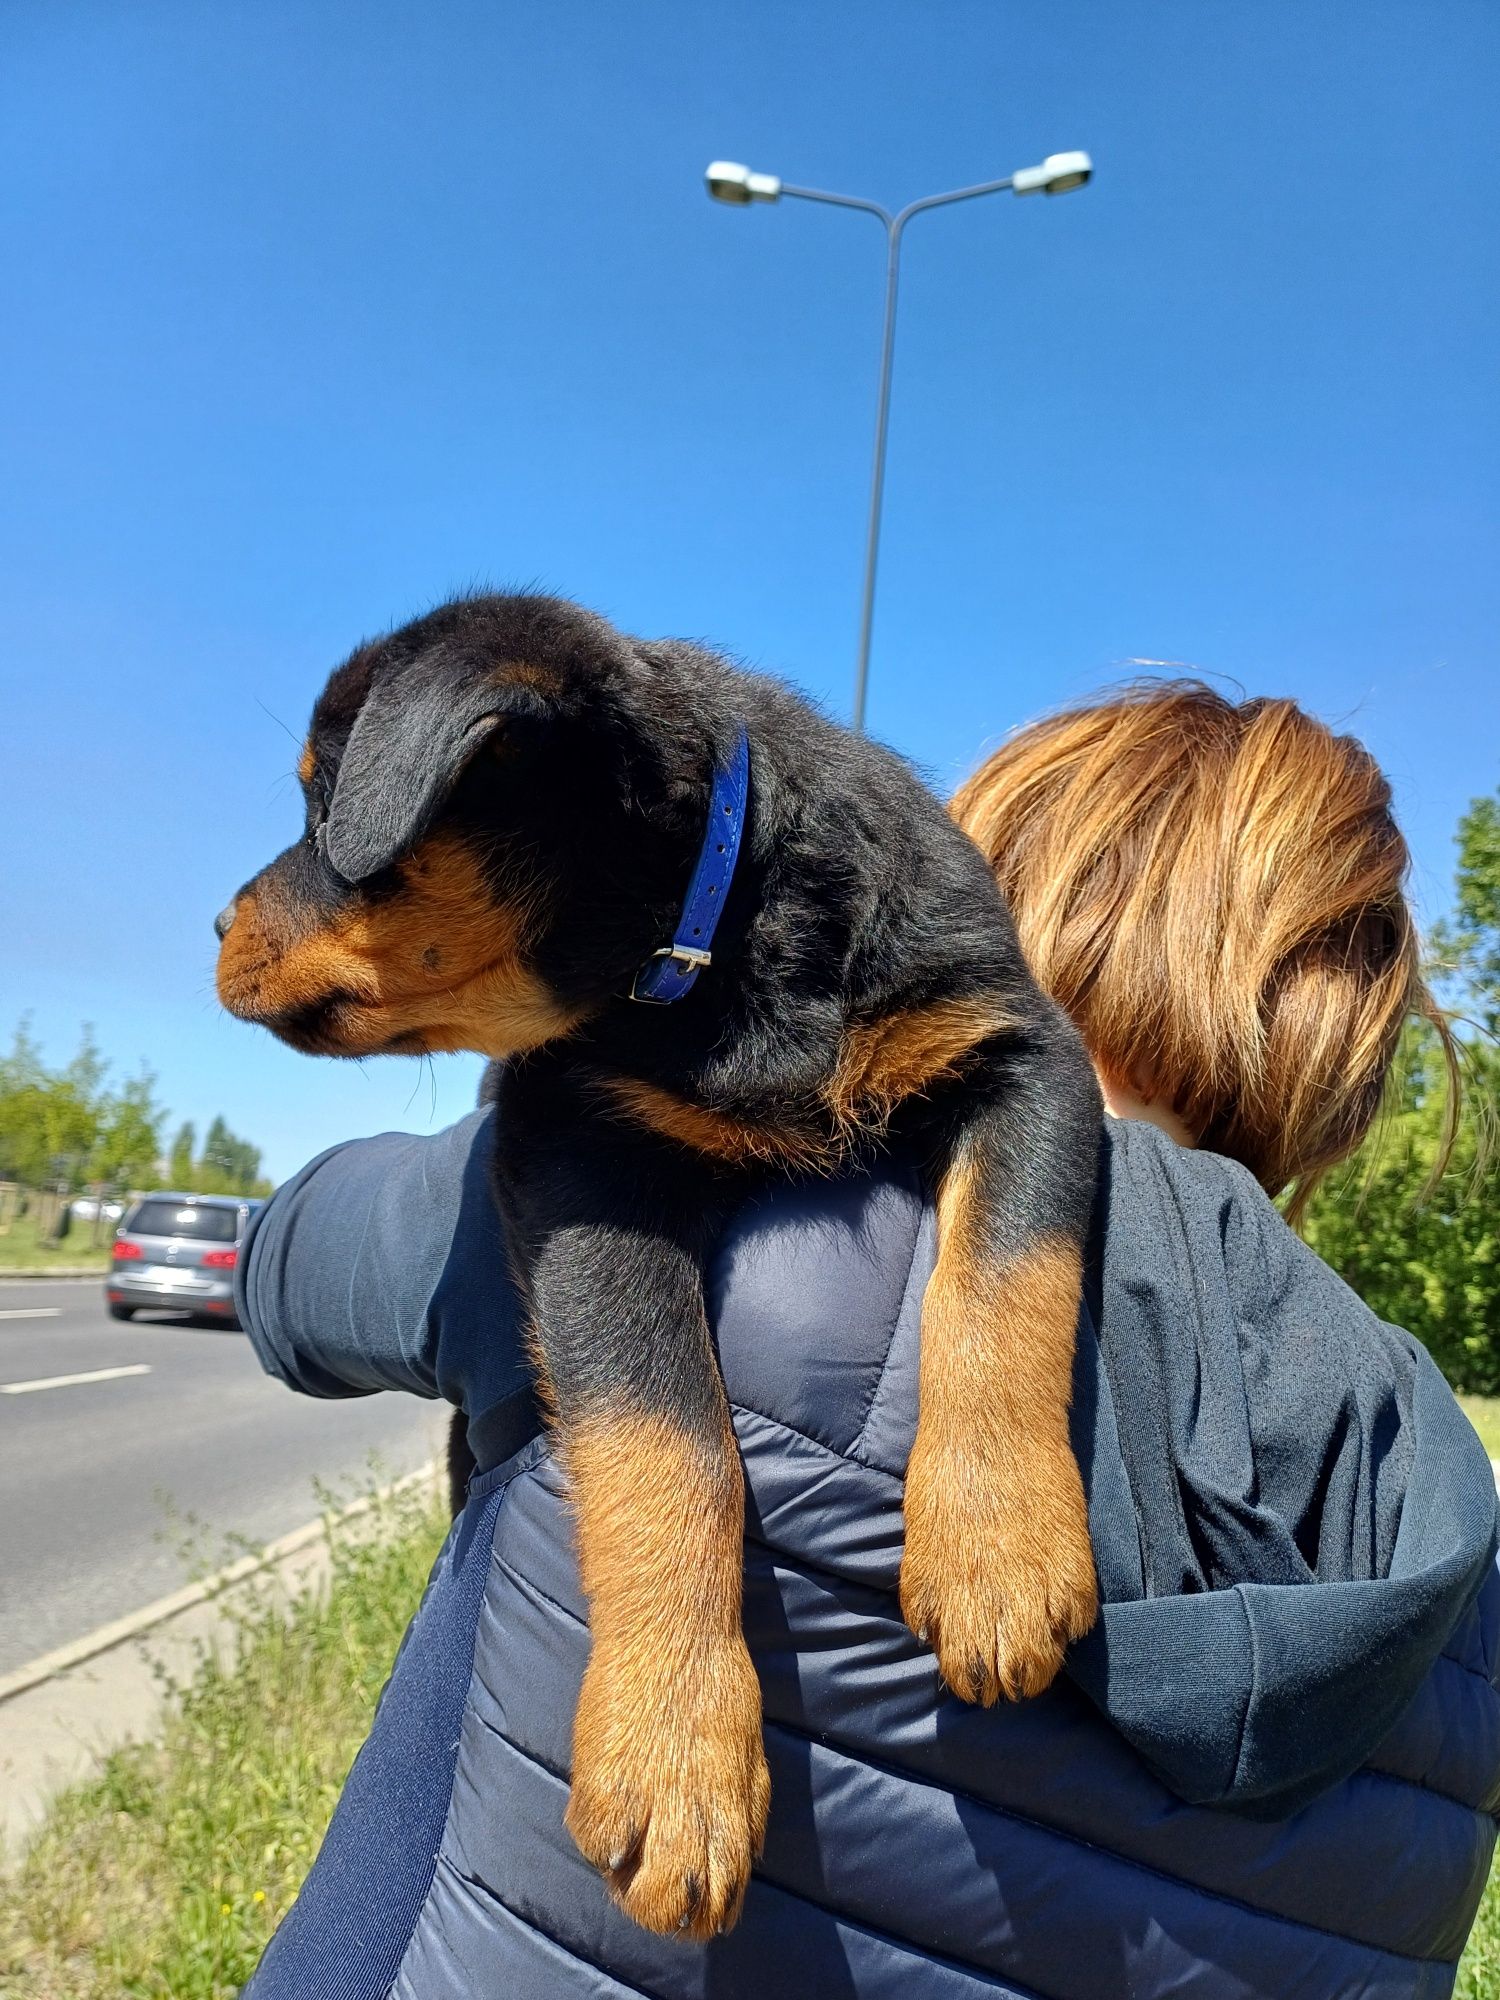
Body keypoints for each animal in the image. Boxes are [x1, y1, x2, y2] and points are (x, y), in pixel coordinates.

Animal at [214, 588, 1104, 1936]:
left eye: (324, 806)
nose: (215, 921)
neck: (722, 931)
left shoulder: (1020, 1048)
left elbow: (1006, 1274)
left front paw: (998, 1544)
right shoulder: (580, 1162)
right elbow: (664, 1431)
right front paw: (676, 1749)